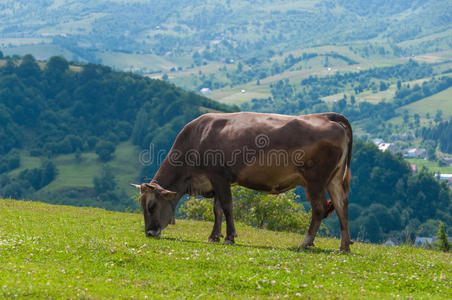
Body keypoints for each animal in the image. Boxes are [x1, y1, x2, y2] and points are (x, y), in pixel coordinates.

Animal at [132, 111, 354, 252]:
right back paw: (344, 246)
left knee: (319, 208)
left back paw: (306, 242)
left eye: (151, 206)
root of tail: (324, 116)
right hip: (334, 179)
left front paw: (229, 238)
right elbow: (217, 209)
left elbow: (227, 207)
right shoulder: (217, 182)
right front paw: (214, 237)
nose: (149, 232)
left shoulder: (219, 176)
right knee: (341, 206)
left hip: (315, 180)